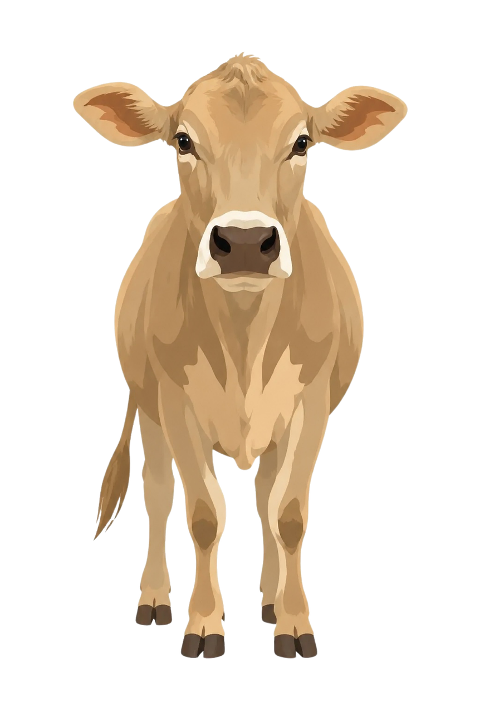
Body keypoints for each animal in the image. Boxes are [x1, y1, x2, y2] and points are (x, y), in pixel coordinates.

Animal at [74, 54, 407, 659]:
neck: (244, 341)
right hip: (147, 407)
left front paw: (294, 623)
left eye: (302, 142)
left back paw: (270, 597)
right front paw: (203, 624)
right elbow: (203, 515)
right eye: (183, 139)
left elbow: (288, 513)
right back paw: (155, 597)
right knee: (158, 494)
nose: (247, 242)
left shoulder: (310, 404)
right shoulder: (175, 403)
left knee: (262, 498)